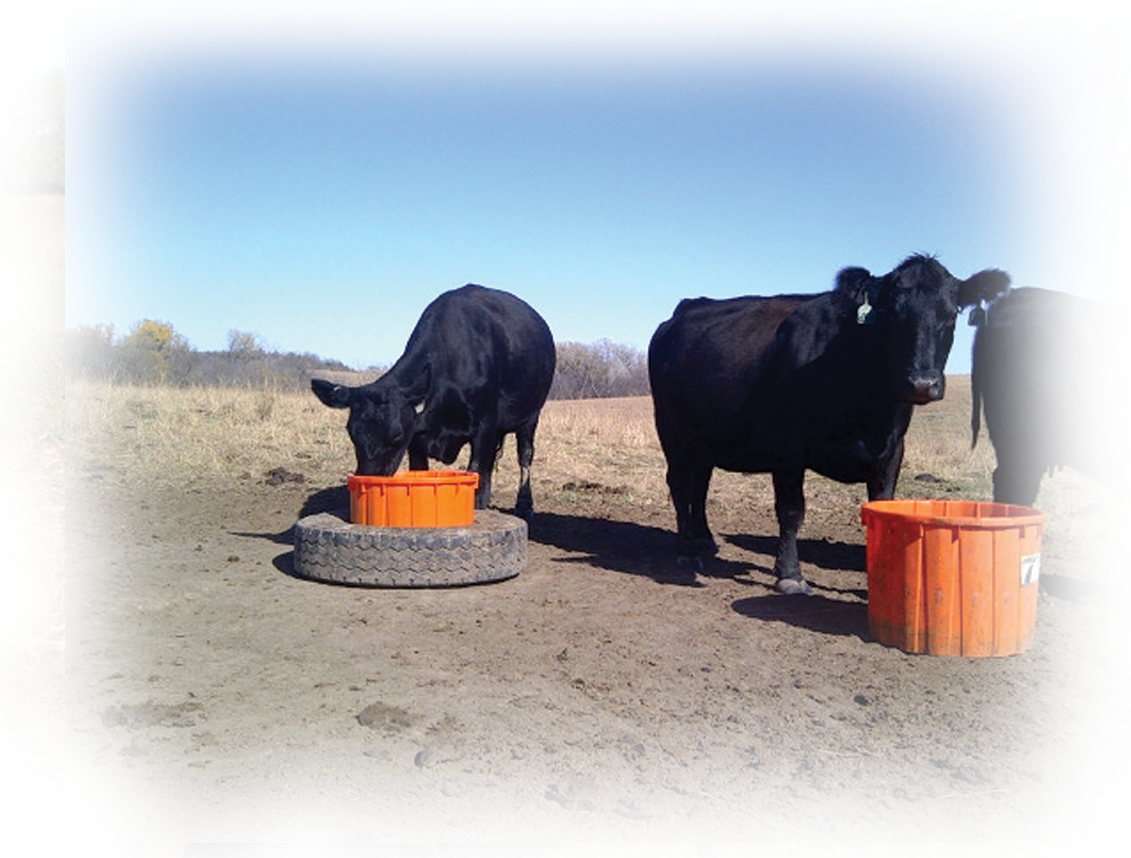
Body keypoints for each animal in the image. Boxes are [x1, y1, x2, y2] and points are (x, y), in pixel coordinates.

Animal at [312, 284, 556, 518]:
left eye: (396, 435)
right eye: (352, 433)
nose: (369, 479)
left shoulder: (485, 423)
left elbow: (477, 467)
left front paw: (478, 504)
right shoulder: (416, 439)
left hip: (531, 417)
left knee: (525, 456)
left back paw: (524, 505)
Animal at [649, 254, 1011, 595]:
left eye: (950, 315)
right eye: (891, 314)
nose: (922, 383)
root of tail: (686, 308)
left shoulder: (892, 451)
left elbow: (882, 510)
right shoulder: (788, 449)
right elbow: (791, 511)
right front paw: (790, 575)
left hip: (701, 439)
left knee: (700, 484)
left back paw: (705, 540)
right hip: (670, 431)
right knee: (680, 485)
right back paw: (686, 551)